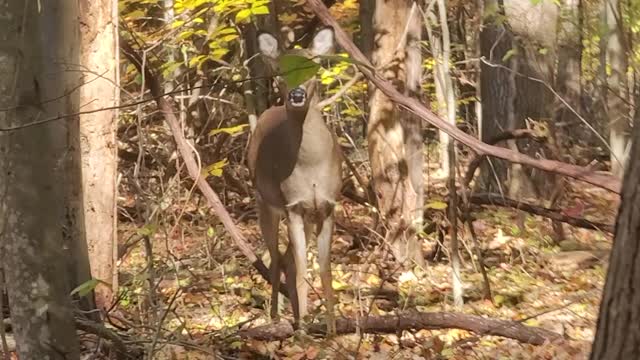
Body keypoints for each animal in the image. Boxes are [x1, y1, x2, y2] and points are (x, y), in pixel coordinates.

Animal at [246, 27, 344, 334]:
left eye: (312, 66)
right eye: (280, 71)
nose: (297, 94)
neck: (310, 166)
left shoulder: (327, 206)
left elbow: (325, 268)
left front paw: (332, 331)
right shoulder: (293, 206)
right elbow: (302, 267)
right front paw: (301, 332)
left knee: (286, 257)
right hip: (264, 202)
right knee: (276, 256)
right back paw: (277, 317)